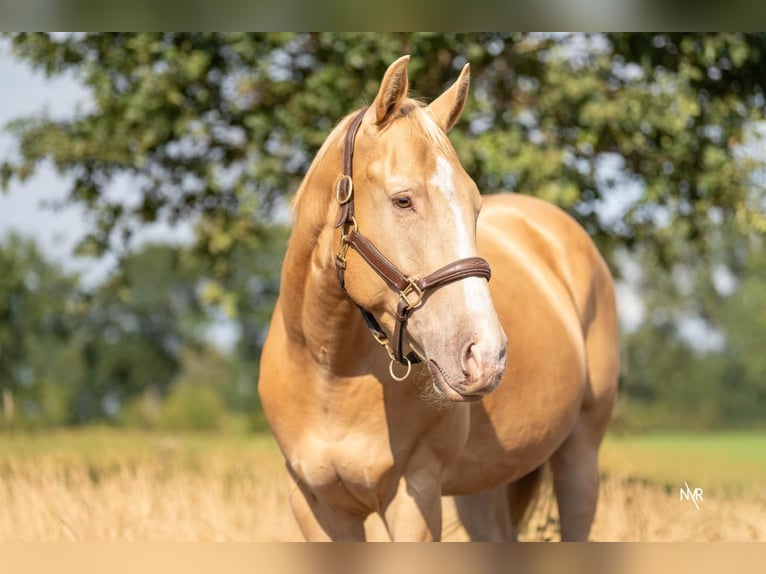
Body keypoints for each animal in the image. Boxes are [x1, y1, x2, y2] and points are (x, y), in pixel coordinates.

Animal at [258, 55, 619, 541]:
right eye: (403, 200)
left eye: (475, 205)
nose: (486, 355)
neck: (328, 372)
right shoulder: (315, 505)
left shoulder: (415, 497)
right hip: (483, 485)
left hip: (580, 456)